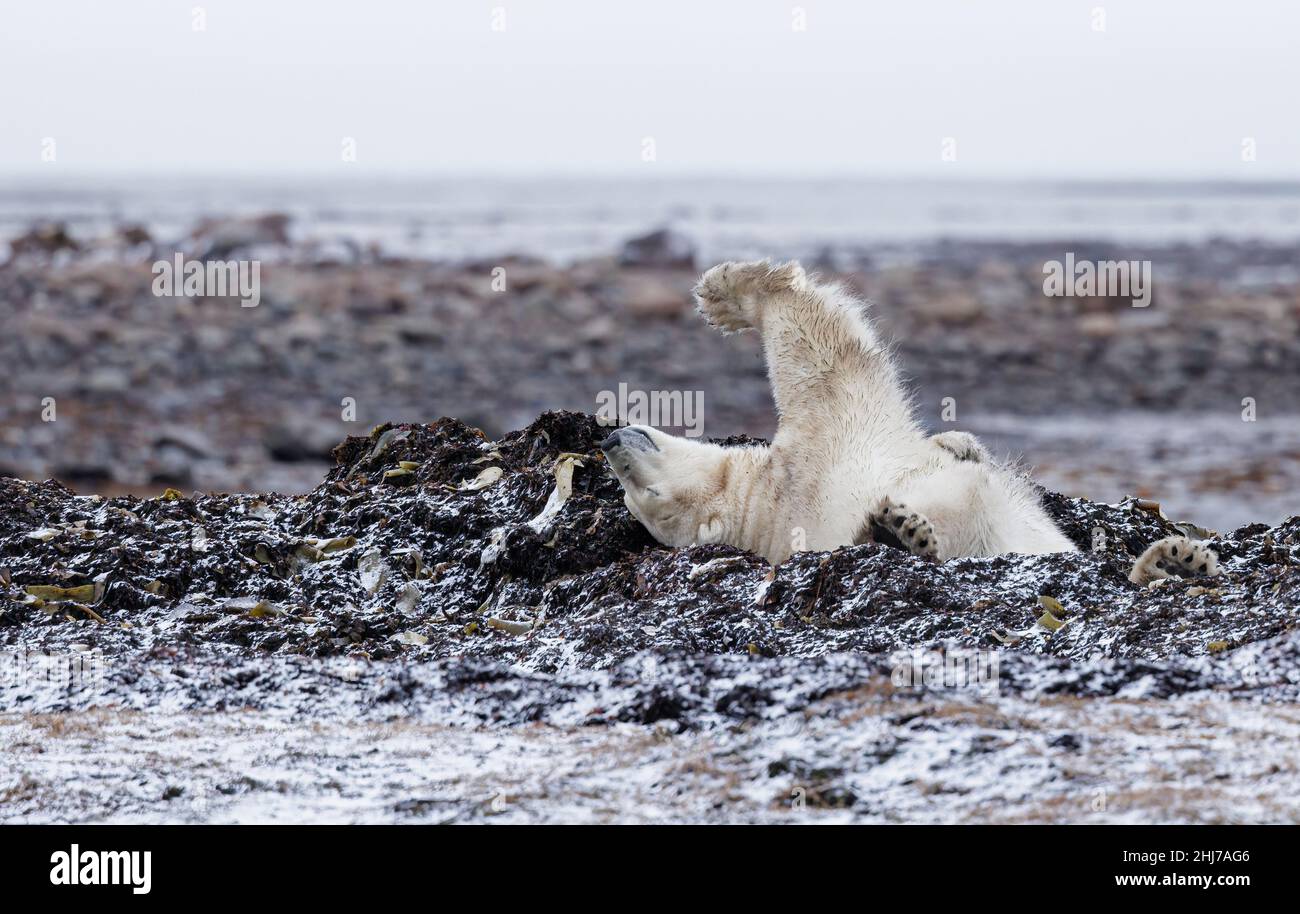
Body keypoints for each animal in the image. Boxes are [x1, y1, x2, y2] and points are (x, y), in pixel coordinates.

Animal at [600, 261, 1216, 582]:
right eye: (644, 497)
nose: (609, 442)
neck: (754, 499)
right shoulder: (812, 460)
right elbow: (819, 358)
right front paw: (734, 291)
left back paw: (1176, 558)